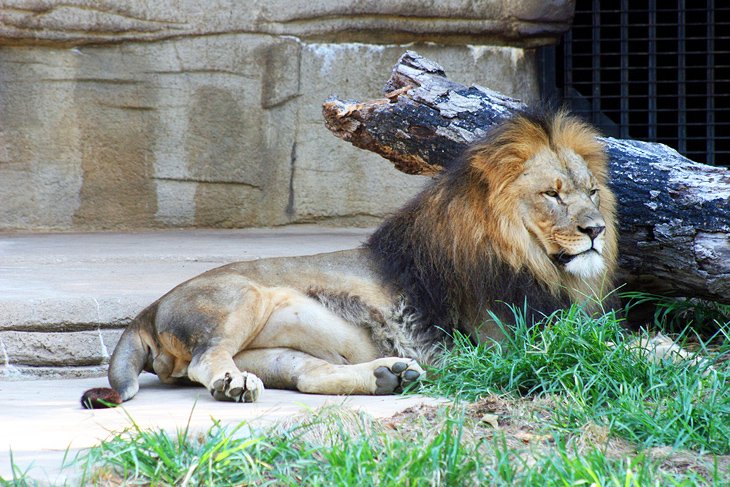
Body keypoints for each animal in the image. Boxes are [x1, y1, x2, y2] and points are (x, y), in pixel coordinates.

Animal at [79, 108, 616, 410]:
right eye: (553, 194)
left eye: (592, 192)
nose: (597, 230)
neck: (535, 260)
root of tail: (147, 311)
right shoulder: (509, 343)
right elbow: (610, 348)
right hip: (240, 298)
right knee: (206, 360)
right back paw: (234, 384)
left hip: (279, 352)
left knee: (306, 377)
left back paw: (387, 376)